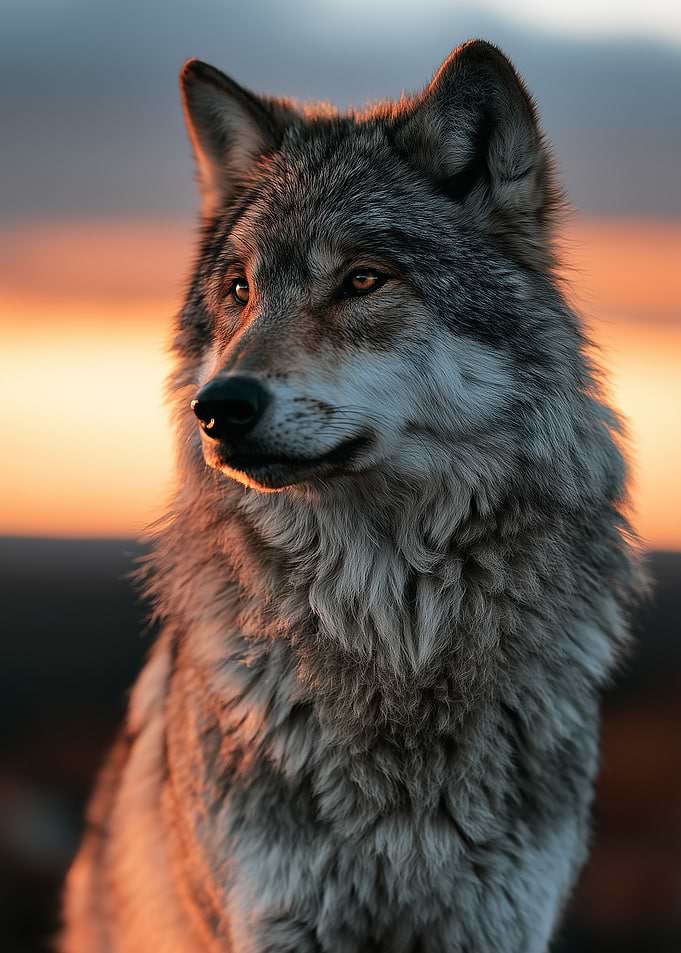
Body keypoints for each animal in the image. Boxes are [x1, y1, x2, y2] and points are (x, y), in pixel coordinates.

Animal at [61, 39, 643, 953]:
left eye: (363, 280)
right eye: (239, 291)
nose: (218, 408)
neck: (392, 635)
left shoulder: (498, 923)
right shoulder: (271, 918)